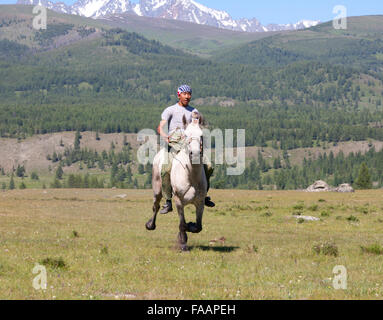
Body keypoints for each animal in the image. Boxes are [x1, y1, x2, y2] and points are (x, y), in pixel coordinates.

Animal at [146, 116, 207, 251]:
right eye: (186, 135)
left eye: (202, 135)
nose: (195, 153)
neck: (191, 176)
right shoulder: (179, 201)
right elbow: (182, 224)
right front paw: (183, 243)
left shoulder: (200, 203)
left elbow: (198, 226)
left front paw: (190, 226)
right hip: (157, 189)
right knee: (156, 206)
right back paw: (150, 224)